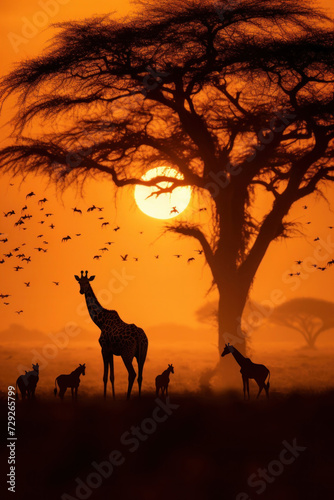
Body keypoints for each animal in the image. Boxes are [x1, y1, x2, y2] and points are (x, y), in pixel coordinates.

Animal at [76, 270, 149, 398]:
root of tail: (140, 338)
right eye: (79, 282)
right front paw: (113, 397)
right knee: (140, 376)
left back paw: (128, 398)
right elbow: (112, 376)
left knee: (132, 374)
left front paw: (105, 397)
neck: (100, 321)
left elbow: (105, 377)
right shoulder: (112, 351)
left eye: (87, 282)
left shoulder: (104, 349)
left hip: (127, 354)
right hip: (142, 355)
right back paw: (139, 398)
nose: (81, 291)